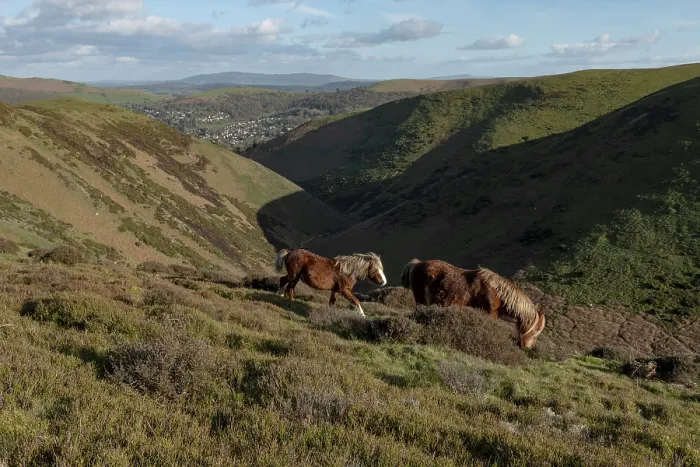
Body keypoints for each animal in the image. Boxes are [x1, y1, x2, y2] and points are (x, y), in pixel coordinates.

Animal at [400, 259, 545, 349]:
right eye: (536, 329)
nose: (528, 347)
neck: (497, 291)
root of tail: (417, 264)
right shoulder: (490, 313)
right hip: (420, 300)